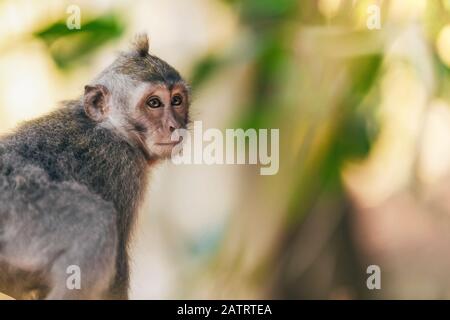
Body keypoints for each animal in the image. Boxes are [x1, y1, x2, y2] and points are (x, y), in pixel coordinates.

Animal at [0, 35, 189, 300]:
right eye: (154, 103)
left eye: (177, 101)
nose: (174, 126)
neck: (114, 129)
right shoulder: (123, 166)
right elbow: (116, 271)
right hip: (19, 210)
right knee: (95, 222)